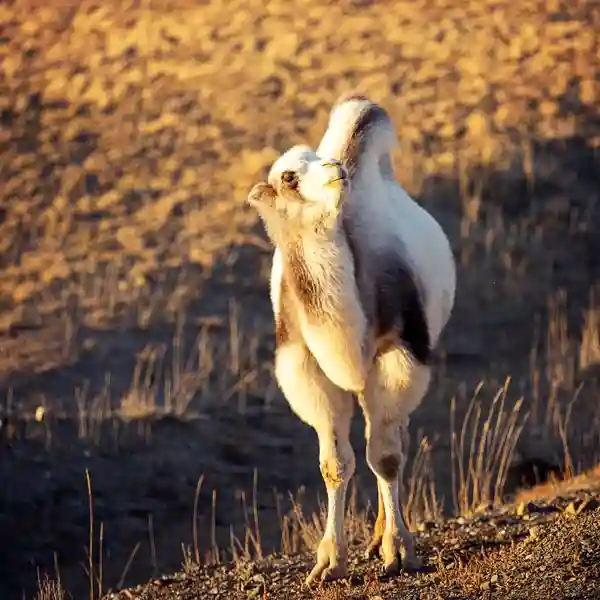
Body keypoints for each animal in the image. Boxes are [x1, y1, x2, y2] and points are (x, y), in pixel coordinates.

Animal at [246, 95, 458, 584]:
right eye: (288, 176)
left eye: (321, 160)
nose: (335, 169)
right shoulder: (305, 368)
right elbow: (334, 464)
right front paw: (329, 561)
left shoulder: (402, 355)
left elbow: (386, 458)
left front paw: (399, 549)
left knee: (393, 436)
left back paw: (383, 537)